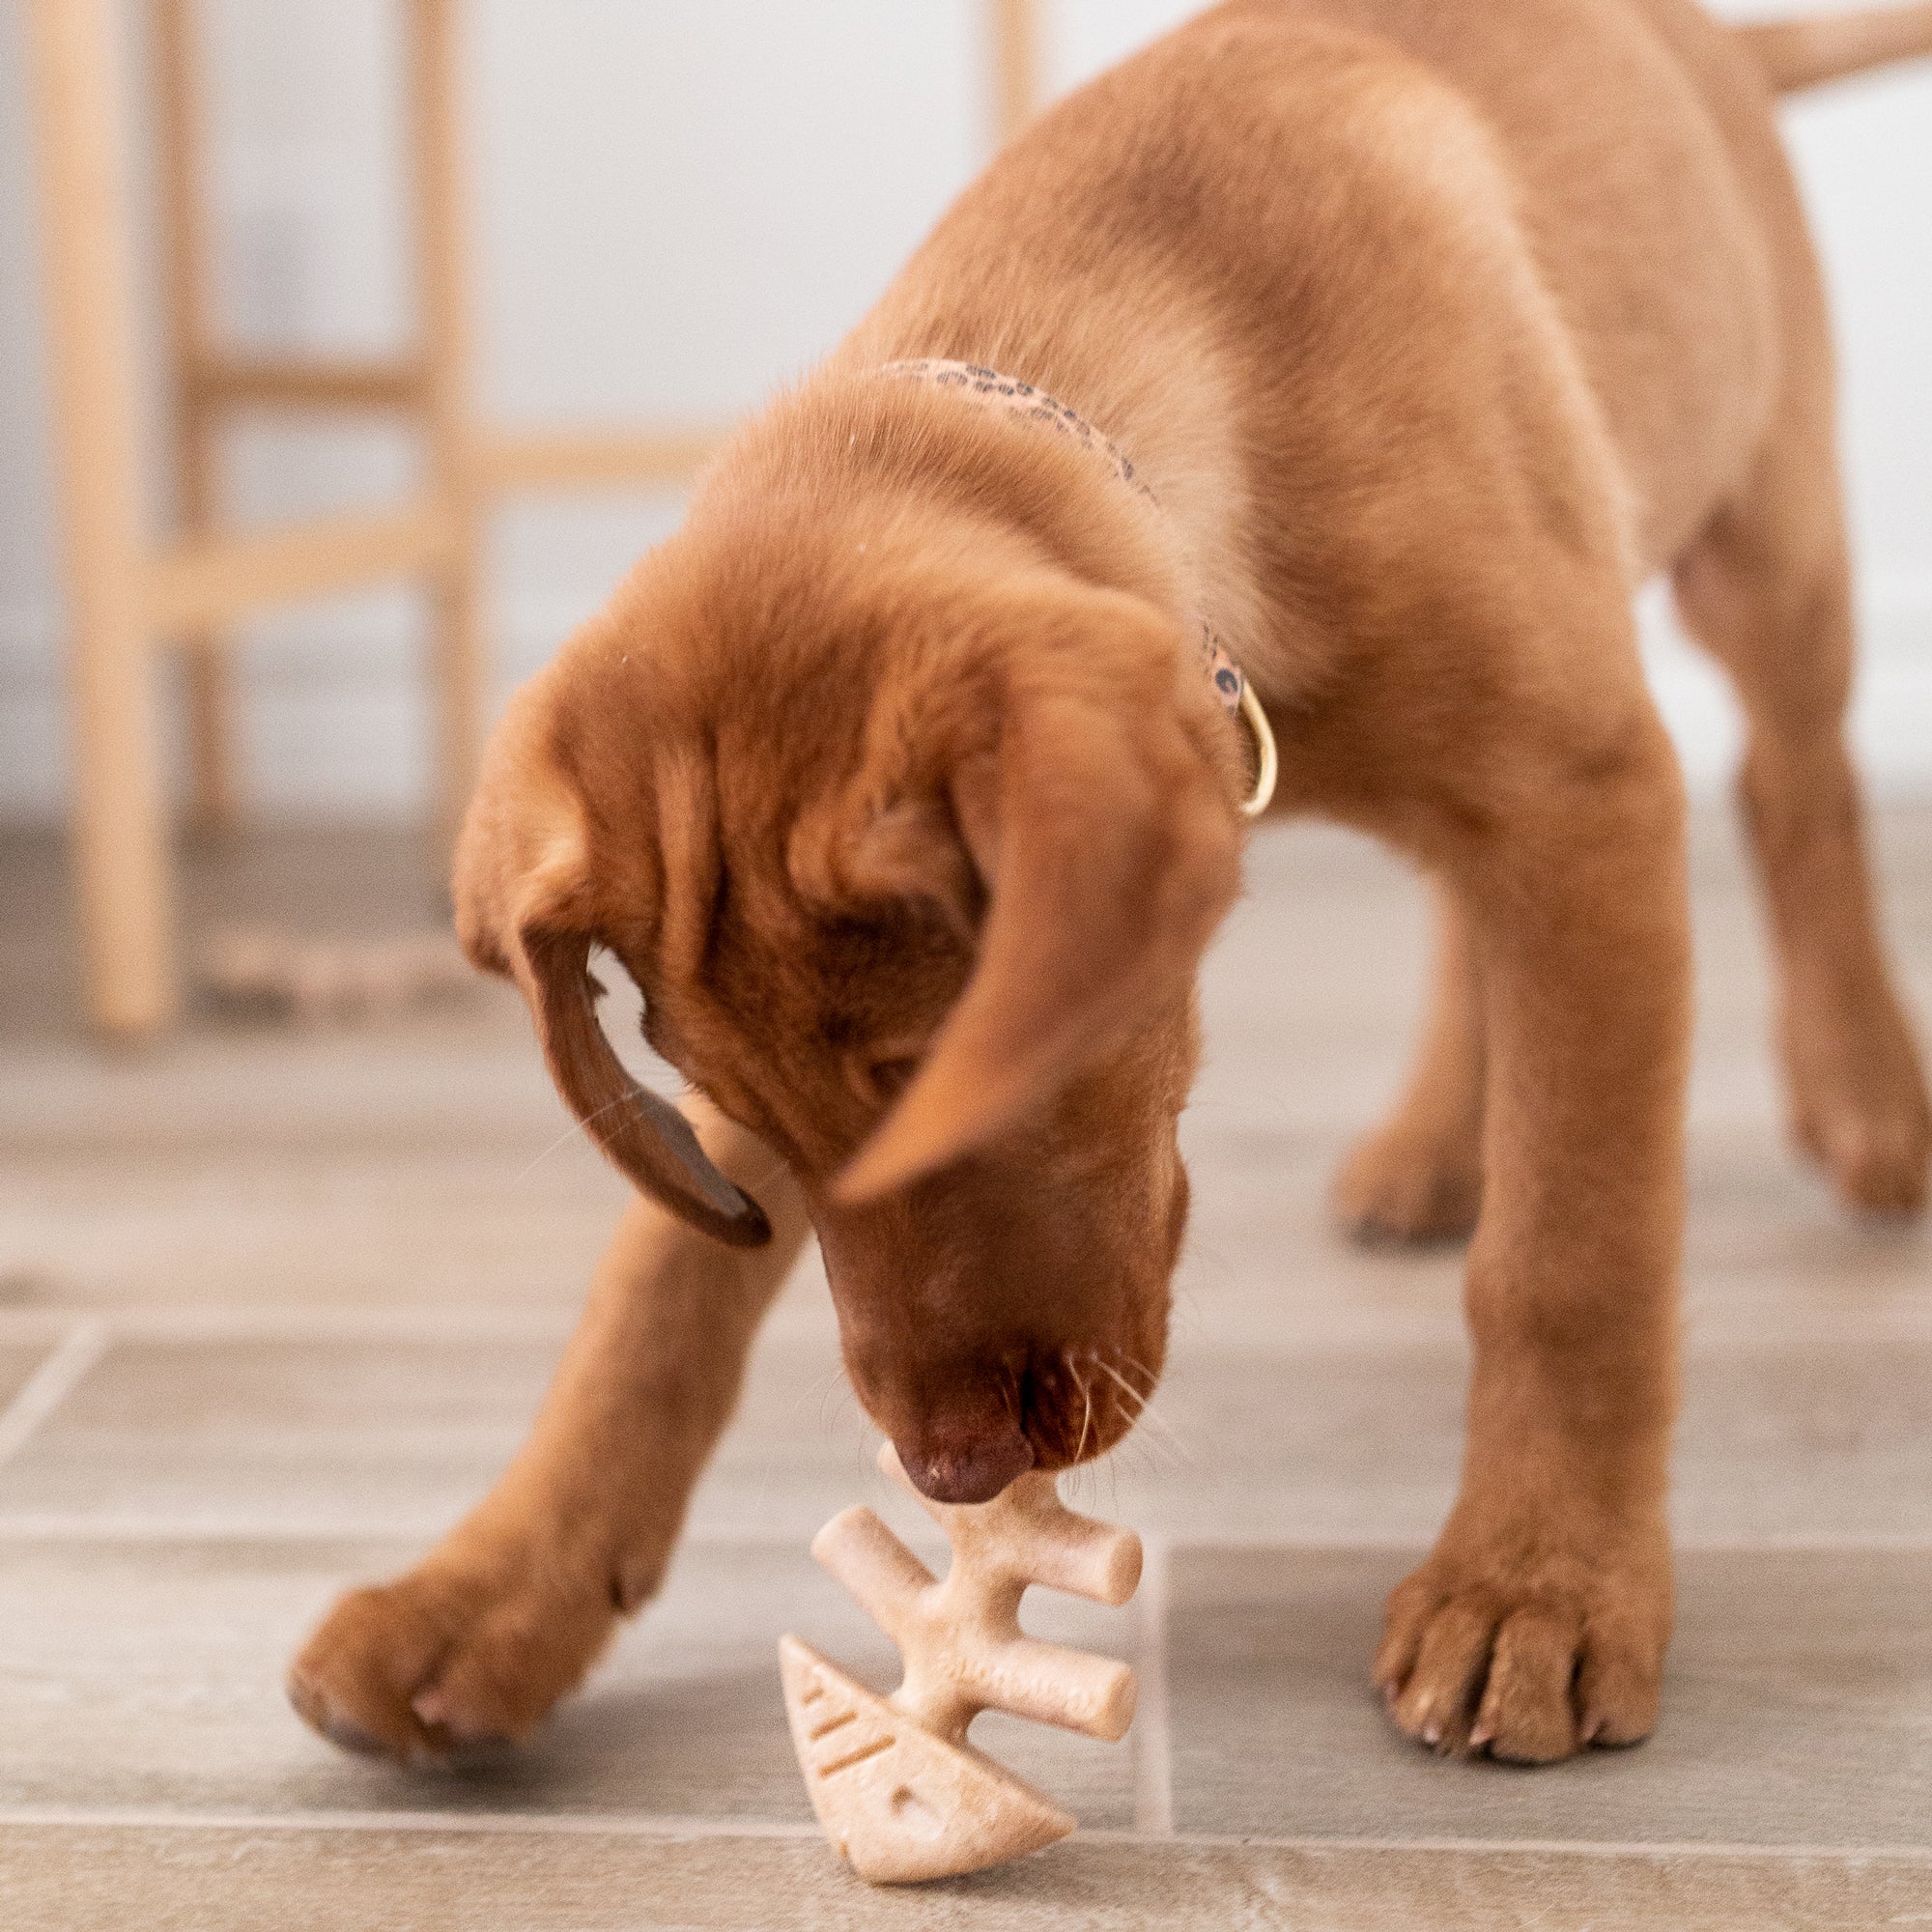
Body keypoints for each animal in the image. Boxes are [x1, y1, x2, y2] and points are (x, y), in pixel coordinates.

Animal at [286, 0, 1932, 1770]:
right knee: (1465, 906)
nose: (950, 1475)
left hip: (1763, 531)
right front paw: (488, 1593)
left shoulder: (1586, 799)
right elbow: (650, 1304)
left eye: (958, 1078)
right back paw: (1438, 1144)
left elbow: (1573, 1249)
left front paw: (1538, 1584)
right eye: (744, 1114)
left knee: (1795, 786)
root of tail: (1719, 48)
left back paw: (1866, 1103)